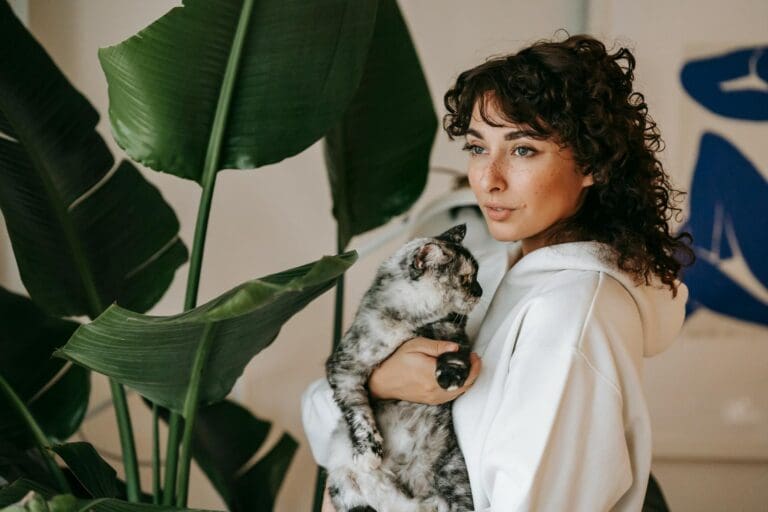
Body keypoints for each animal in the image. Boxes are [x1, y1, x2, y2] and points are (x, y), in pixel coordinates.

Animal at [326, 224, 484, 512]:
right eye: (467, 278)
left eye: (476, 276)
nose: (480, 291)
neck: (413, 324)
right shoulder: (344, 369)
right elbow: (358, 413)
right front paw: (368, 453)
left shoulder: (457, 339)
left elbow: (455, 354)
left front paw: (450, 377)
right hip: (343, 486)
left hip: (452, 473)